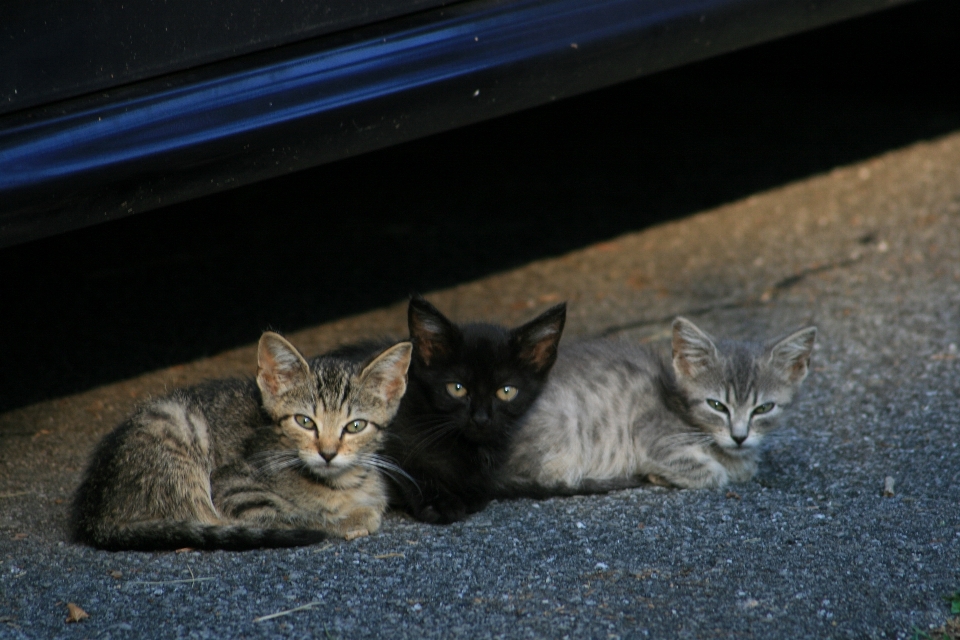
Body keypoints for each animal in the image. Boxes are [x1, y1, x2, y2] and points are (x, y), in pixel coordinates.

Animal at [70, 330, 408, 552]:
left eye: (355, 426)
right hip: (181, 426)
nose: (327, 453)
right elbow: (294, 516)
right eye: (304, 422)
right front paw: (349, 519)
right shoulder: (234, 490)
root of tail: (95, 512)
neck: (342, 483)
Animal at [334, 298, 568, 524]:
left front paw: (471, 493)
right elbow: (406, 466)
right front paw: (440, 503)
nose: (480, 418)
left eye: (506, 391)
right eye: (457, 388)